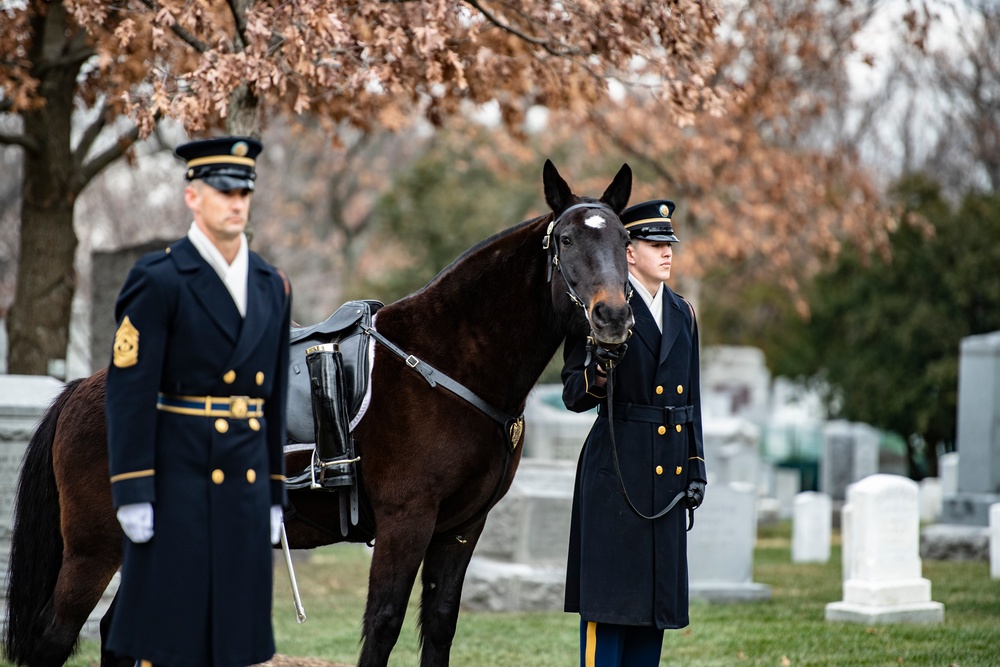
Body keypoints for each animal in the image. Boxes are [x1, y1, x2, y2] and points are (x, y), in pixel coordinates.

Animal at [3, 160, 632, 667]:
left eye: (625, 241)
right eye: (566, 239)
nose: (613, 318)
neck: (446, 361)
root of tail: (82, 389)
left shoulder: (460, 528)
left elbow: (439, 626)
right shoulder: (407, 521)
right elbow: (383, 625)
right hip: (95, 548)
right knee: (57, 638)